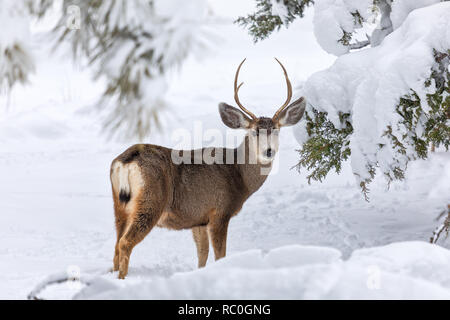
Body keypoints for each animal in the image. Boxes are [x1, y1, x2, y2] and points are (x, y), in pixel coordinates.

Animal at [110, 58, 306, 278]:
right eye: (255, 132)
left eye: (277, 131)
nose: (269, 151)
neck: (238, 173)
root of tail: (126, 160)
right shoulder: (219, 211)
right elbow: (220, 255)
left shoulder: (198, 219)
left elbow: (202, 255)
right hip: (151, 201)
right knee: (125, 243)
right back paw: (122, 279)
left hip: (119, 205)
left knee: (116, 245)